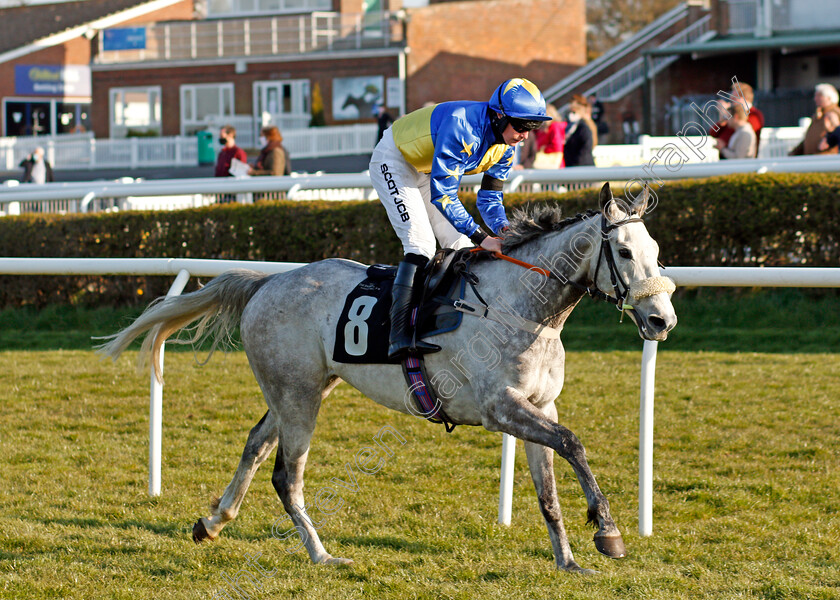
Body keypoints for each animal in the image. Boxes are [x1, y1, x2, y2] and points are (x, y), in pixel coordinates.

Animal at [98, 183, 676, 572]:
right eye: (624, 252)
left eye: (658, 253)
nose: (661, 321)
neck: (523, 307)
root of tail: (266, 283)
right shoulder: (501, 408)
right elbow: (574, 443)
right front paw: (609, 532)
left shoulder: (539, 405)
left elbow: (550, 488)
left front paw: (568, 560)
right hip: (299, 396)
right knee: (286, 475)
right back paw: (321, 554)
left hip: (299, 389)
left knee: (256, 444)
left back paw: (214, 521)